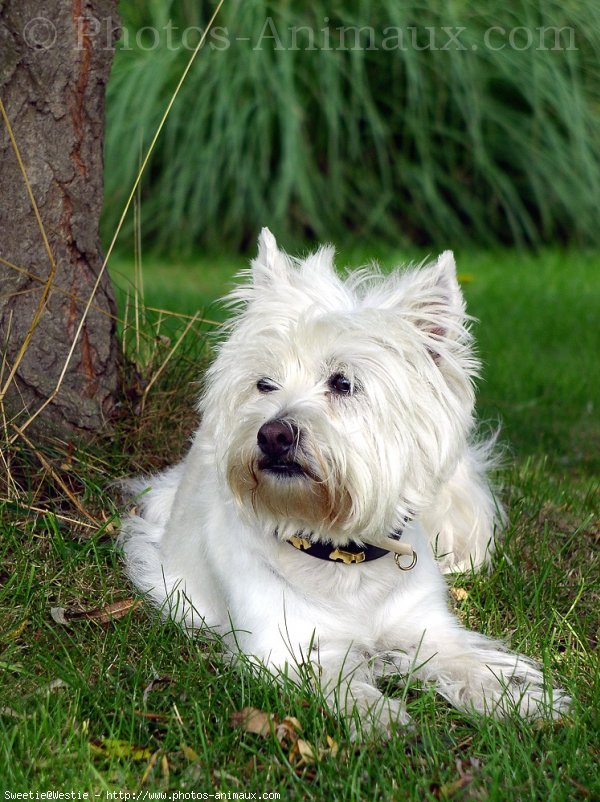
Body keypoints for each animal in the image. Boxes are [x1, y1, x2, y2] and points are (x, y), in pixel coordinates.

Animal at [119, 230, 568, 732]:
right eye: (264, 384)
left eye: (343, 383)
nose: (272, 434)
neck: (342, 555)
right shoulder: (279, 647)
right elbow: (339, 679)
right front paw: (381, 718)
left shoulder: (426, 628)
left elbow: (468, 662)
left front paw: (521, 701)